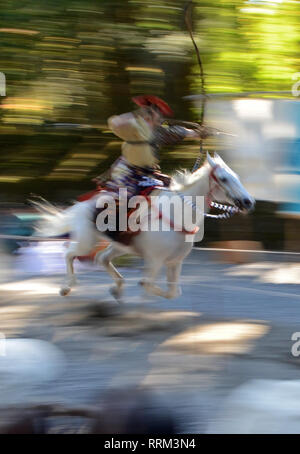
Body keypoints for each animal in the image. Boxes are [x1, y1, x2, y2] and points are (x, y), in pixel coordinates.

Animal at [35, 153, 255, 302]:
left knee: (102, 258)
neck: (178, 213)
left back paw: (117, 288)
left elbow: (173, 292)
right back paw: (67, 287)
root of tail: (84, 202)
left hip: (120, 246)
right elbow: (149, 285)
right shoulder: (155, 260)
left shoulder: (175, 261)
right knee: (69, 254)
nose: (248, 202)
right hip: (86, 241)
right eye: (224, 178)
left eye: (236, 176)